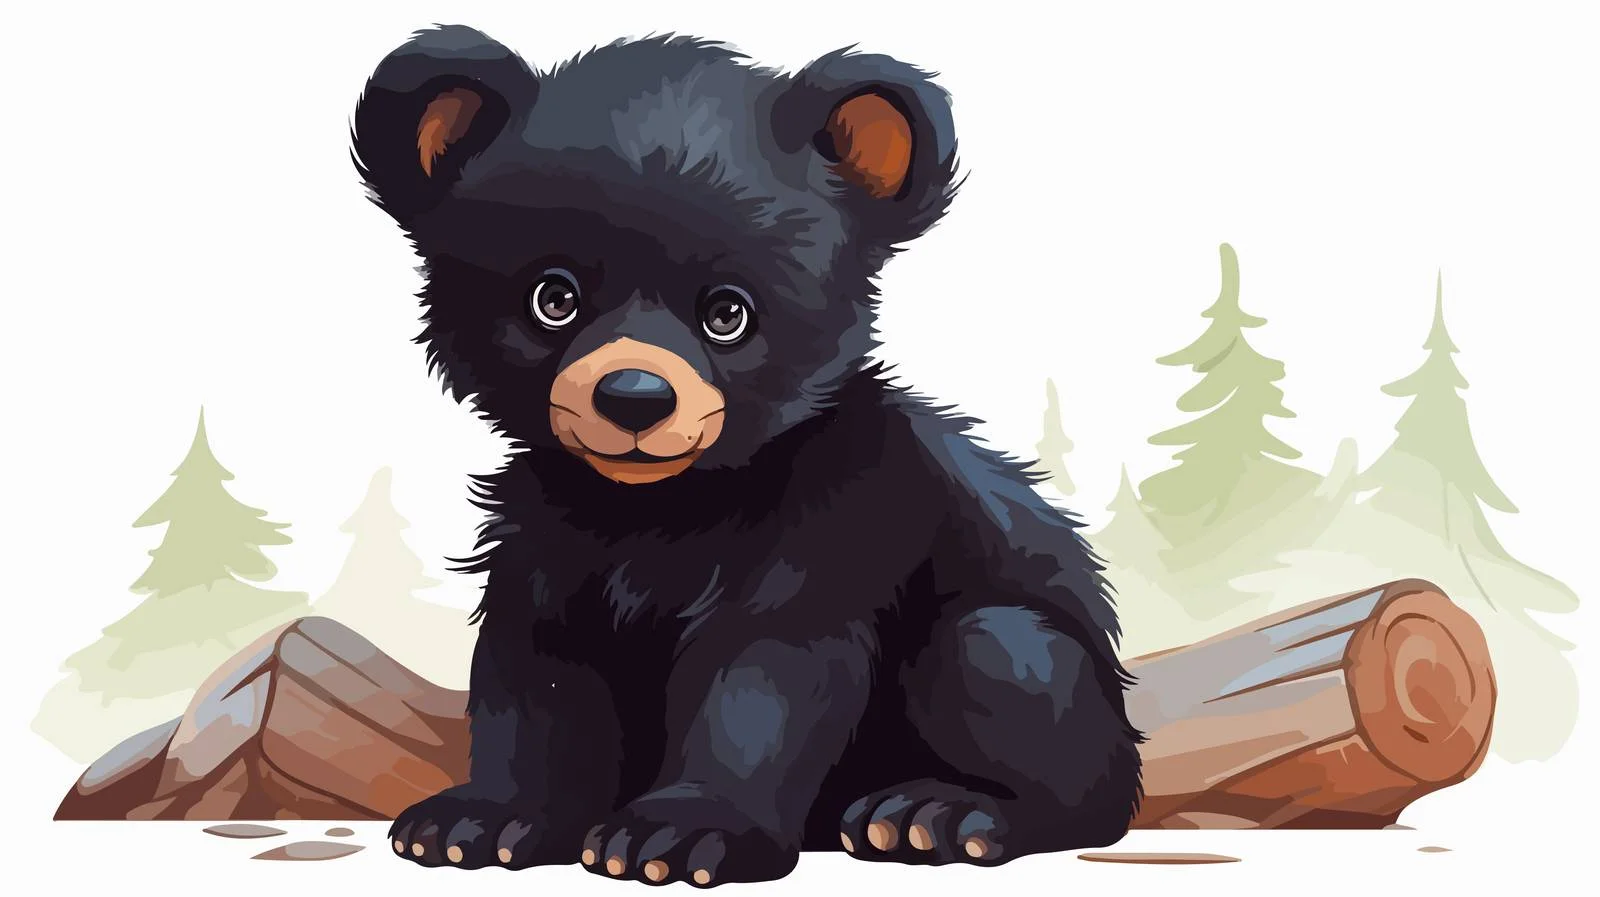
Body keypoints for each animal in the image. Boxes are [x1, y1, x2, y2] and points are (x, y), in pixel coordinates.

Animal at [351, 24, 1143, 888]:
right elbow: (537, 679)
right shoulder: (543, 540)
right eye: (552, 298)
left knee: (1009, 673)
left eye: (728, 313)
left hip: (1032, 669)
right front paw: (482, 819)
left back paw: (935, 814)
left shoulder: (836, 516)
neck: (655, 508)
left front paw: (679, 834)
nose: (635, 398)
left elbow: (765, 678)